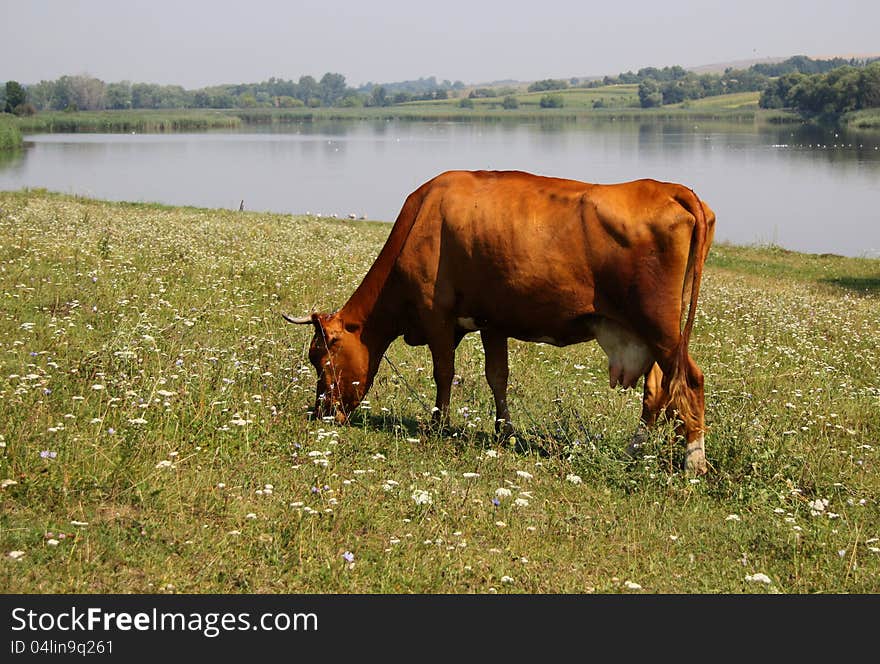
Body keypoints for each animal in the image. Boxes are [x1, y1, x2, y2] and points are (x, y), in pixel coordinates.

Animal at [288, 170, 716, 472]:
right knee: (657, 390)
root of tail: (670, 188)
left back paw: (693, 462)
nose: (322, 411)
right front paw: (503, 431)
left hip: (659, 326)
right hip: (651, 332)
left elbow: (444, 373)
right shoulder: (492, 321)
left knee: (690, 381)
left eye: (320, 357)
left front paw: (438, 425)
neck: (422, 218)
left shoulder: (436, 315)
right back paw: (633, 451)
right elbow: (497, 376)